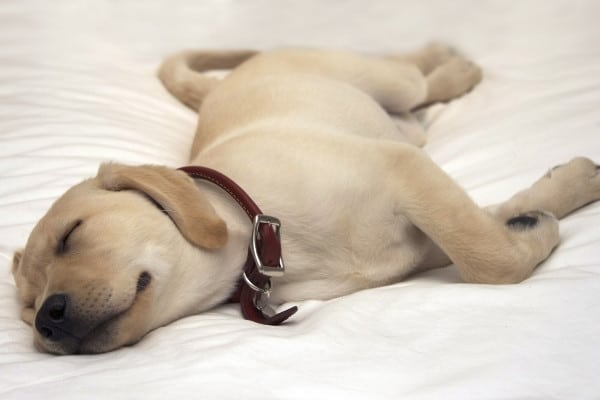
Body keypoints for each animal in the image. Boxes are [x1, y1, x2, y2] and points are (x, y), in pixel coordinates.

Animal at [10, 45, 600, 354]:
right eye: (26, 308)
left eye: (72, 235)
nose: (48, 321)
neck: (255, 230)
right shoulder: (428, 221)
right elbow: (491, 232)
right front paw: (540, 213)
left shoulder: (404, 173)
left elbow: (489, 261)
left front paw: (554, 208)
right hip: (408, 129)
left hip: (382, 82)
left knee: (415, 72)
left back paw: (451, 61)